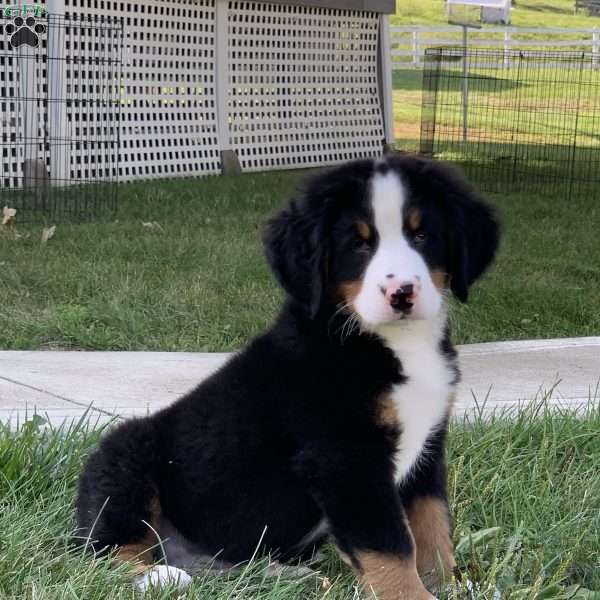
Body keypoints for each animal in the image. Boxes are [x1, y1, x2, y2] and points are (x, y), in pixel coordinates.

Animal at [76, 156, 496, 600]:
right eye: (359, 244)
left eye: (422, 235)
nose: (401, 293)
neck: (393, 343)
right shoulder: (346, 458)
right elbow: (391, 547)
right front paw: (414, 594)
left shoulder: (427, 448)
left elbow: (432, 527)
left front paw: (449, 584)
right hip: (125, 461)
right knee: (105, 552)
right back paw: (154, 576)